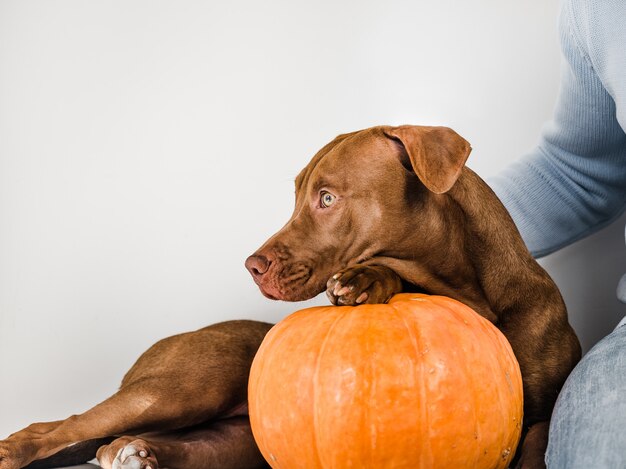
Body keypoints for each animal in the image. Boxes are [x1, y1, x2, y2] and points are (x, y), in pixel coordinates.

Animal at [0, 125, 576, 468]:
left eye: (327, 198)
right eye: (299, 195)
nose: (252, 266)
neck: (471, 291)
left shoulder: (546, 409)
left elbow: (538, 442)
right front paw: (365, 280)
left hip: (232, 443)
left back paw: (135, 453)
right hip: (181, 386)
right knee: (62, 425)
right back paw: (21, 449)